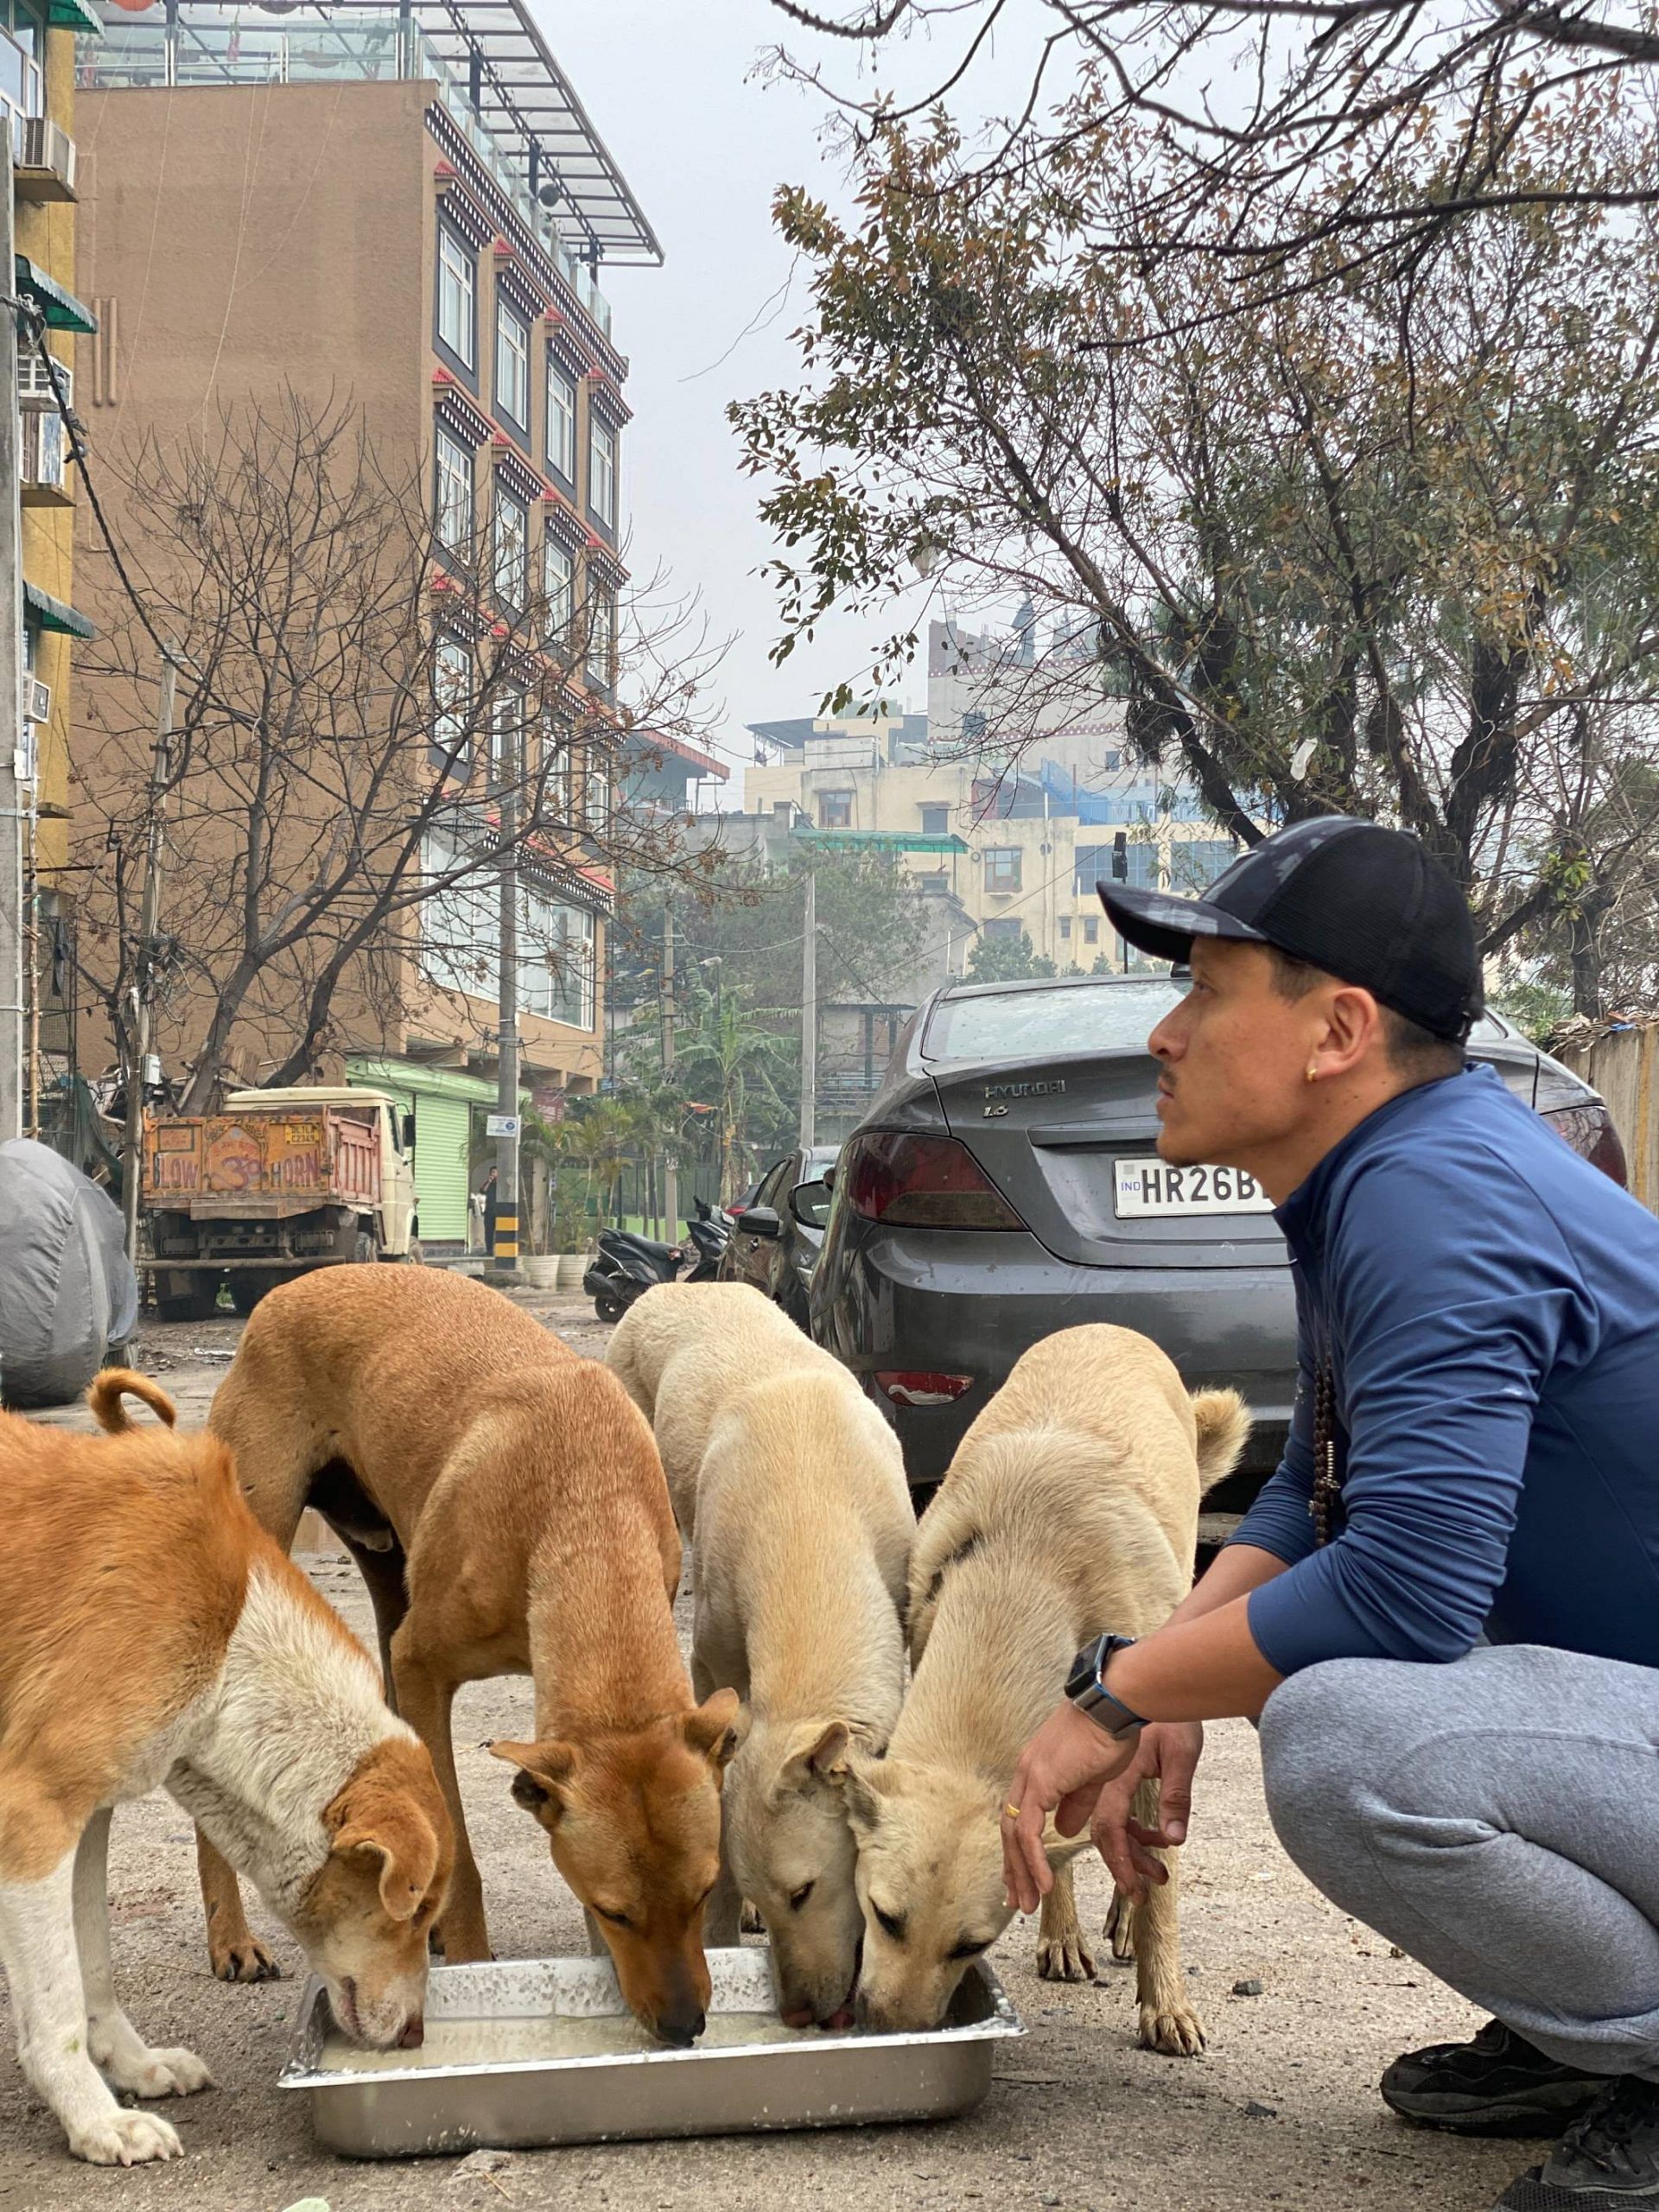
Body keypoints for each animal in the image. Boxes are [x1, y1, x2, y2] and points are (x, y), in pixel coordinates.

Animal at [0, 1371, 455, 2167]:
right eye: (421, 1911)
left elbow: (92, 1967)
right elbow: (55, 2007)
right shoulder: (35, 1815)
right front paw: (96, 2121)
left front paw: (132, 2066)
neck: (228, 1639)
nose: (414, 2038)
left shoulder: (88, 1820)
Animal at [196, 1274, 739, 2044]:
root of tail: (284, 1292)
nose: (687, 2025)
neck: (584, 1504)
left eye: (703, 1892)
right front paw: (475, 1961)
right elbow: (463, 1863)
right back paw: (232, 1939)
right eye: (615, 1911)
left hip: (387, 1568)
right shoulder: (422, 1665)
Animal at [606, 1282, 911, 2025]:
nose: (799, 2014)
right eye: (775, 1896)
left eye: (803, 1891)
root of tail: (680, 1284)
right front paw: (722, 1932)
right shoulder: (714, 1662)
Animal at [831, 1318, 1247, 2044]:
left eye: (971, 1947)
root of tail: (1110, 1325)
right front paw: (1060, 1930)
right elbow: (1055, 1846)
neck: (1025, 1570)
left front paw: (1165, 2000)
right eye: (885, 1918)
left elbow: (1161, 1888)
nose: (889, 2032)